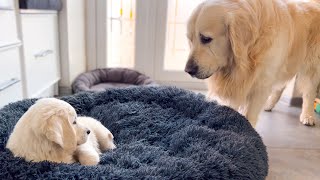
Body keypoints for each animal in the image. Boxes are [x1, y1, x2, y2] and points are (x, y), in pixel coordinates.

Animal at [185, 0, 320, 126]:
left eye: (206, 39)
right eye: (190, 40)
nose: (188, 70)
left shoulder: (261, 85)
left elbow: (249, 115)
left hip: (311, 67)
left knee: (309, 92)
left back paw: (308, 116)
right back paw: (269, 105)